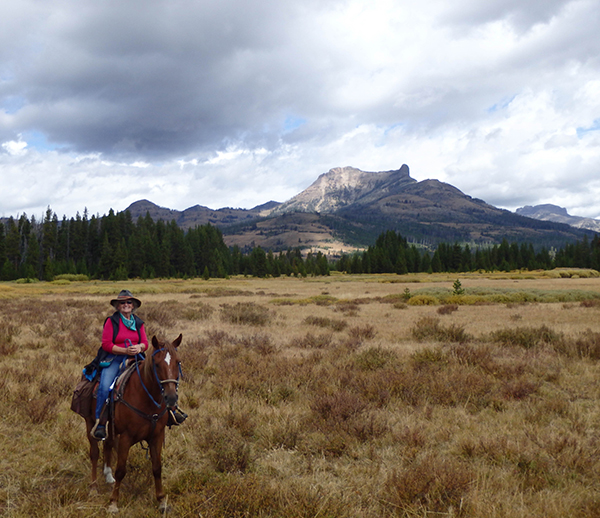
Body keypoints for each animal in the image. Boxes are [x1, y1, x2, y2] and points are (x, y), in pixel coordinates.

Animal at [85, 336, 183, 512]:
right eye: (157, 364)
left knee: (108, 444)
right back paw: (94, 487)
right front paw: (113, 502)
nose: (171, 398)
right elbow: (121, 470)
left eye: (178, 362)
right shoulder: (126, 437)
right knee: (94, 453)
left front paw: (161, 500)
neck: (146, 399)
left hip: (110, 427)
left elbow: (157, 467)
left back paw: (107, 475)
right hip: (90, 423)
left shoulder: (157, 435)